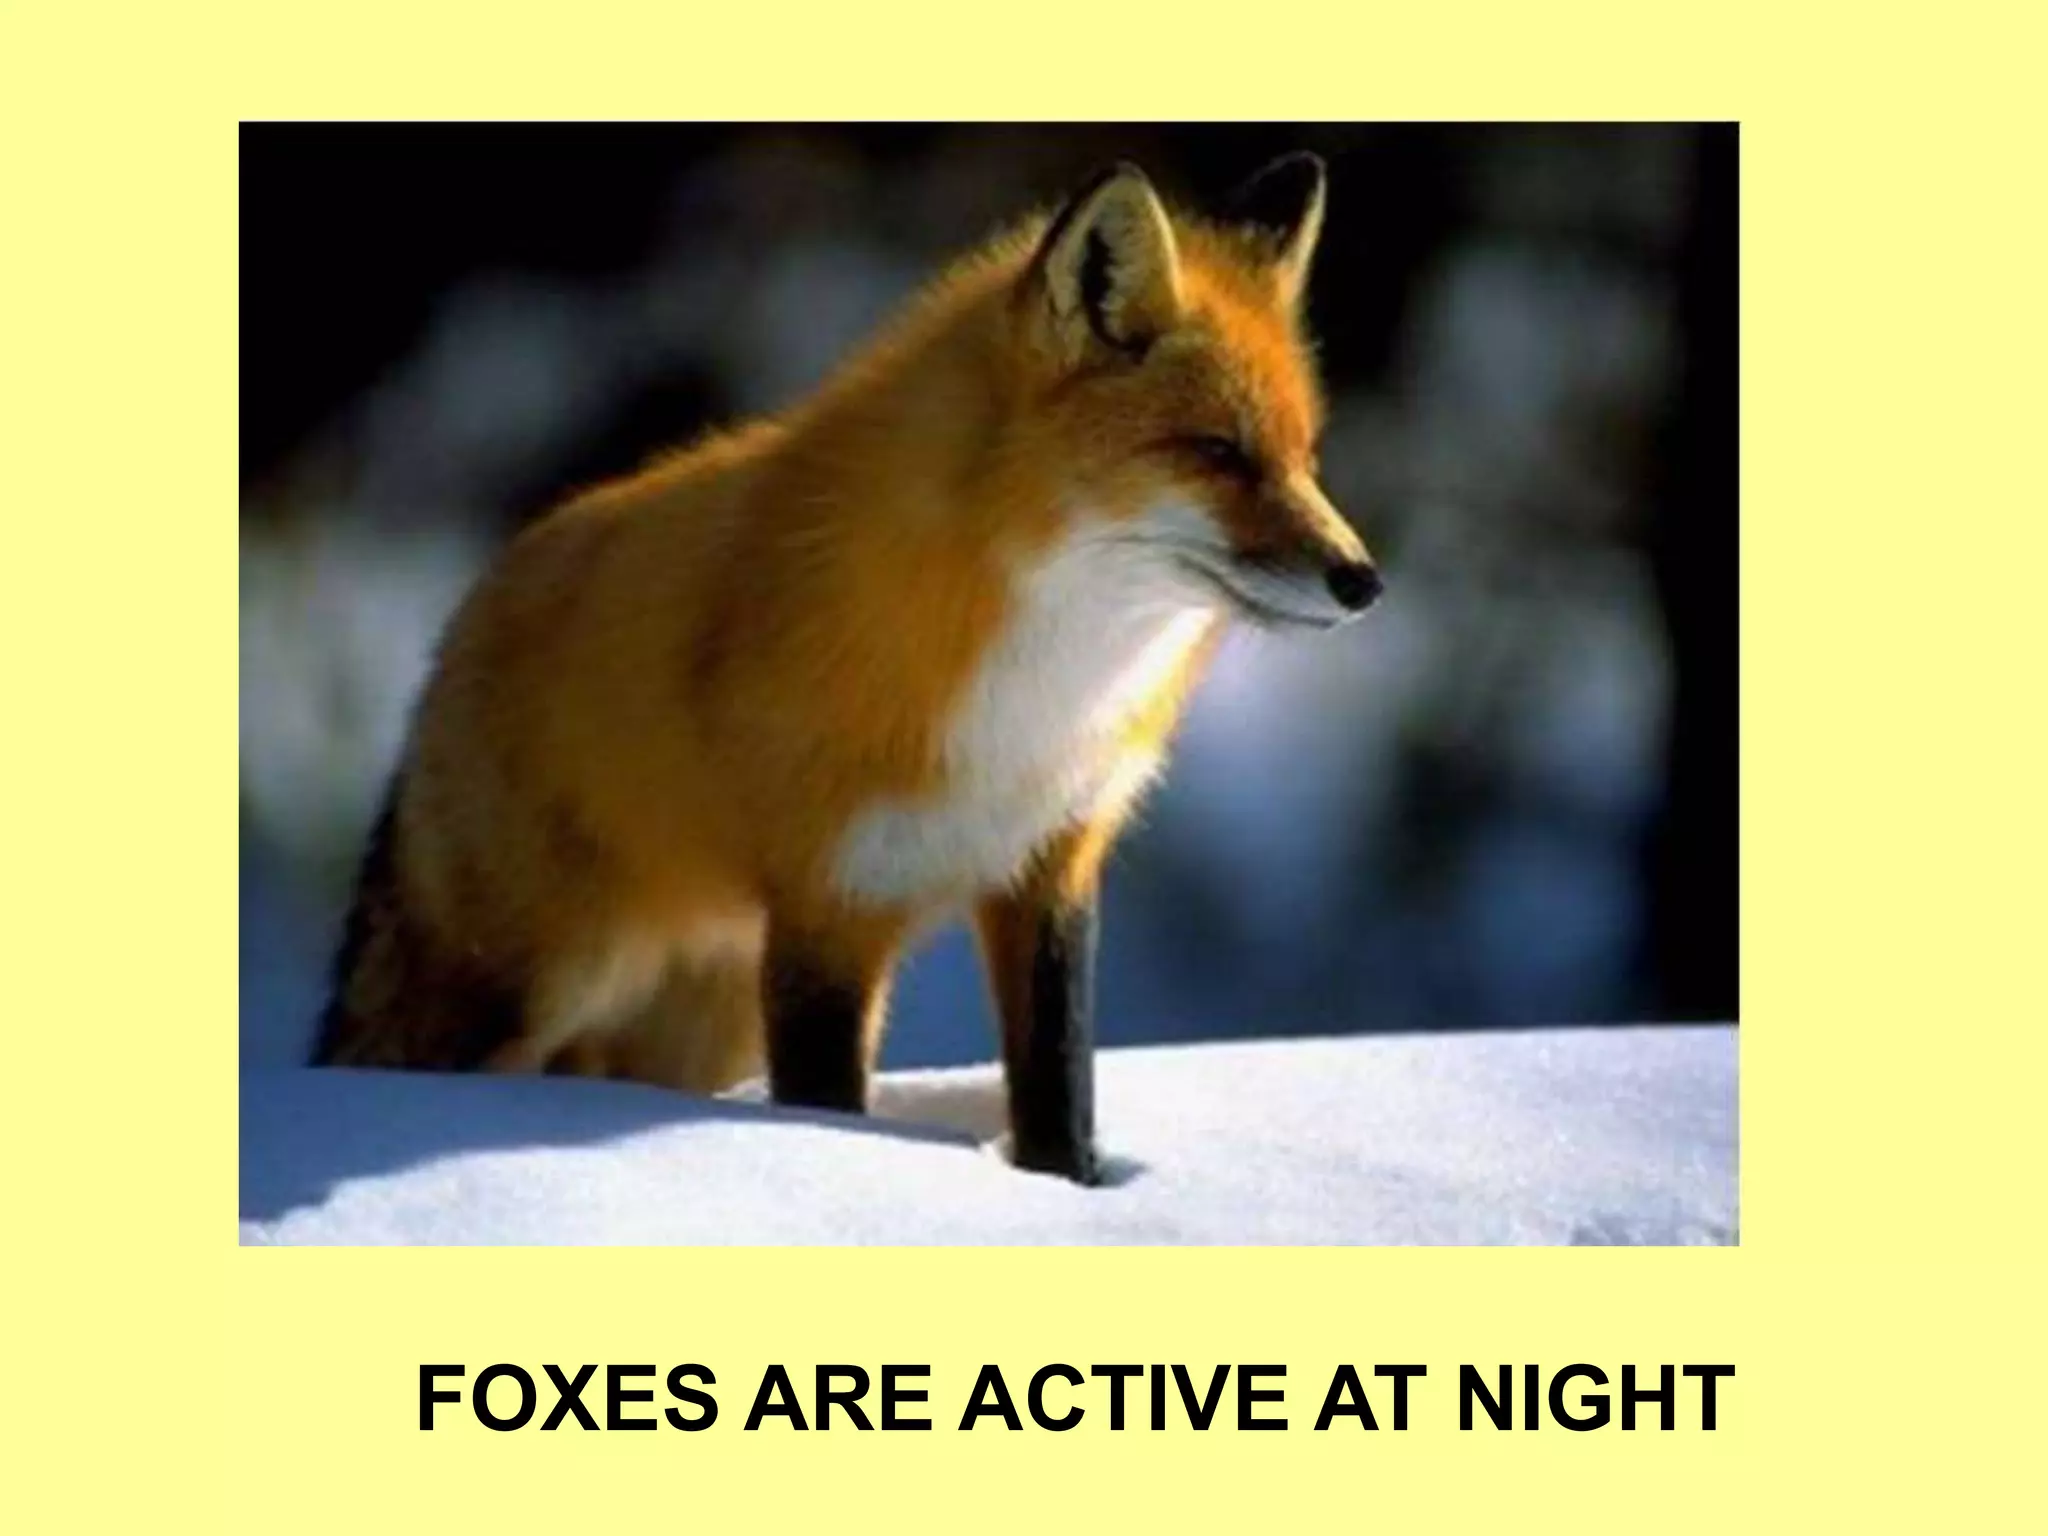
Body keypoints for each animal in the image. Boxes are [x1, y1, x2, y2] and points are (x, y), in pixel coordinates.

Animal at [312, 153, 1381, 1183]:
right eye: (1219, 453)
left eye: (1304, 457)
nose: (1362, 581)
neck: (1039, 691)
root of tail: (455, 629)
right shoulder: (830, 909)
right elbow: (828, 1112)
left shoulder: (1051, 869)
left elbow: (1057, 1100)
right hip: (533, 982)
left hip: (700, 1022)